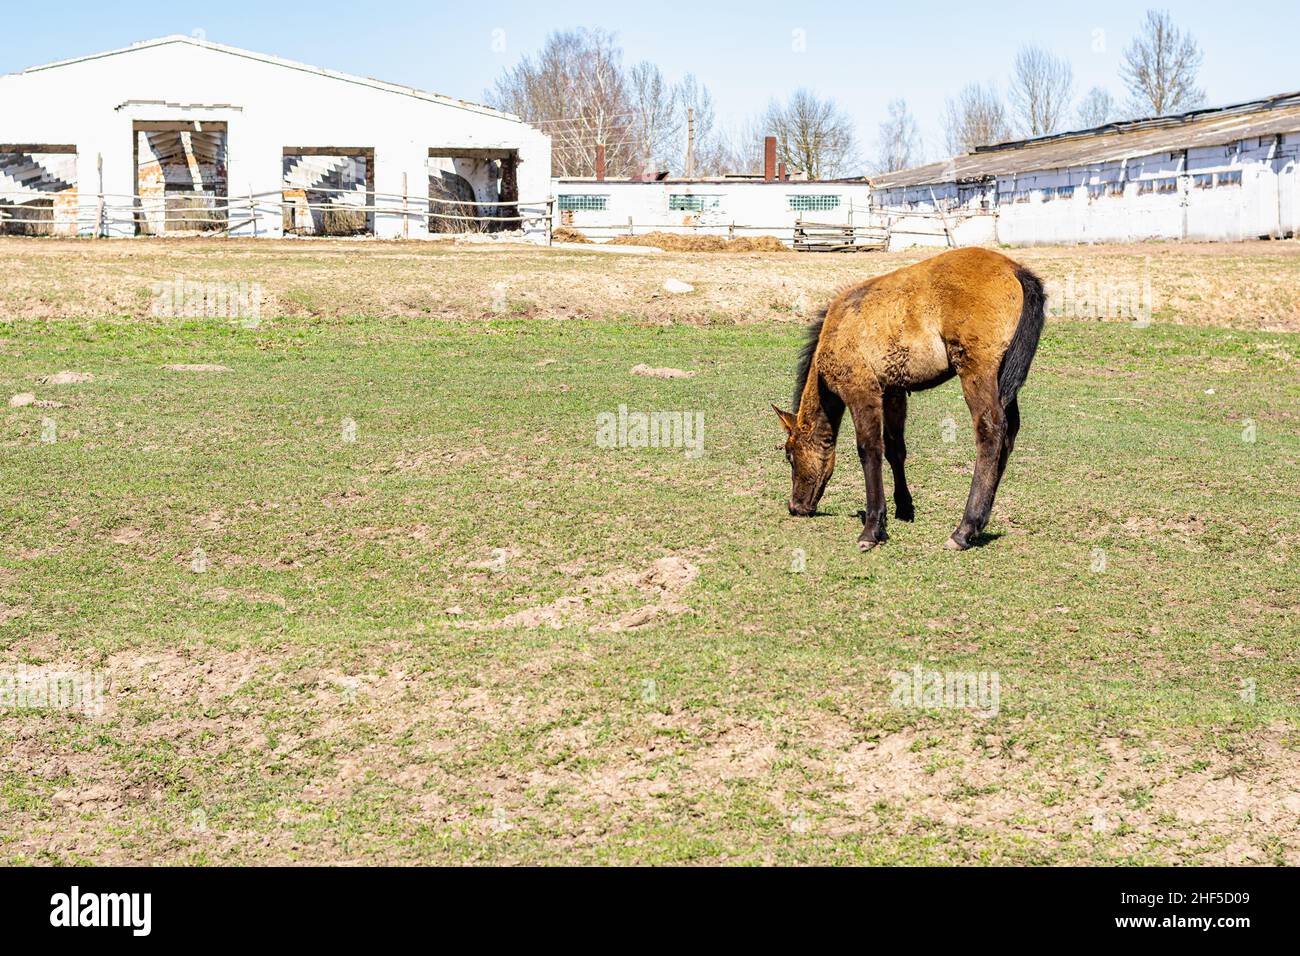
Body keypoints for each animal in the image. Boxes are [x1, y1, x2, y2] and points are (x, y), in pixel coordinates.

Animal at [769, 247, 1045, 554]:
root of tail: (1015, 269)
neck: (836, 329)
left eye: (789, 455)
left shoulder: (861, 390)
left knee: (991, 431)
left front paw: (872, 529)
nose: (795, 506)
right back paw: (979, 523)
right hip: (1003, 377)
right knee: (1009, 433)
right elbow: (894, 449)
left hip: (976, 369)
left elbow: (870, 450)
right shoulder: (893, 392)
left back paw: (964, 529)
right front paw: (904, 508)